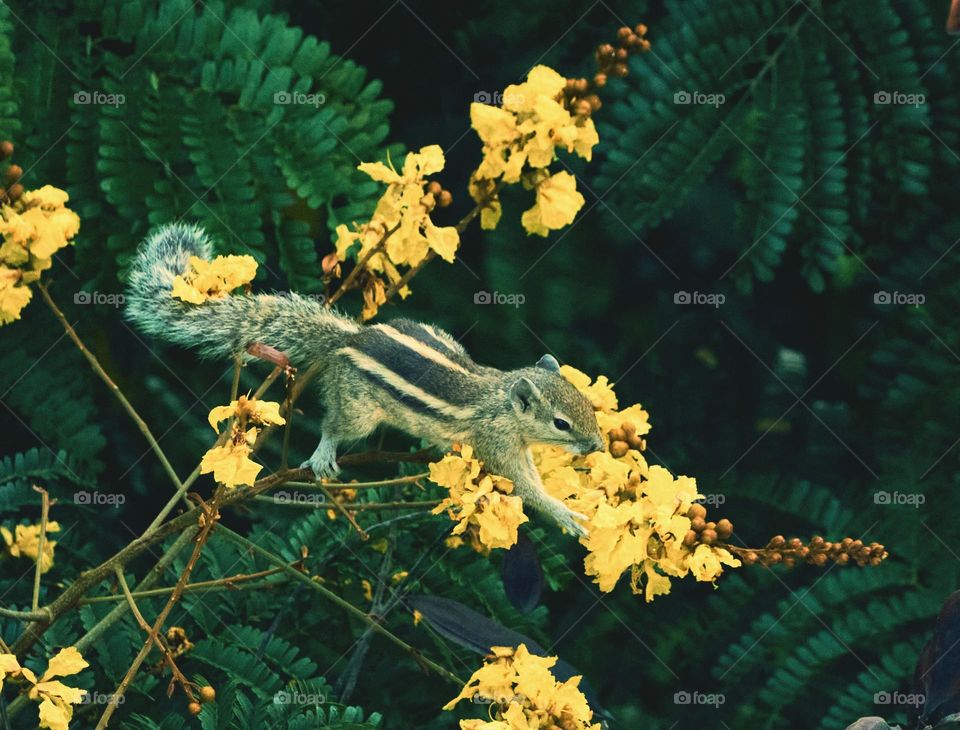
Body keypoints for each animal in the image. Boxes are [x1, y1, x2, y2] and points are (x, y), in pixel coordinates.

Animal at [126, 223, 603, 536]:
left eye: (587, 405)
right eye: (561, 423)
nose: (598, 446)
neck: (501, 399)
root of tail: (349, 338)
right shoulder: (498, 444)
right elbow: (525, 486)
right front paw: (564, 514)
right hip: (357, 408)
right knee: (334, 424)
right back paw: (323, 453)